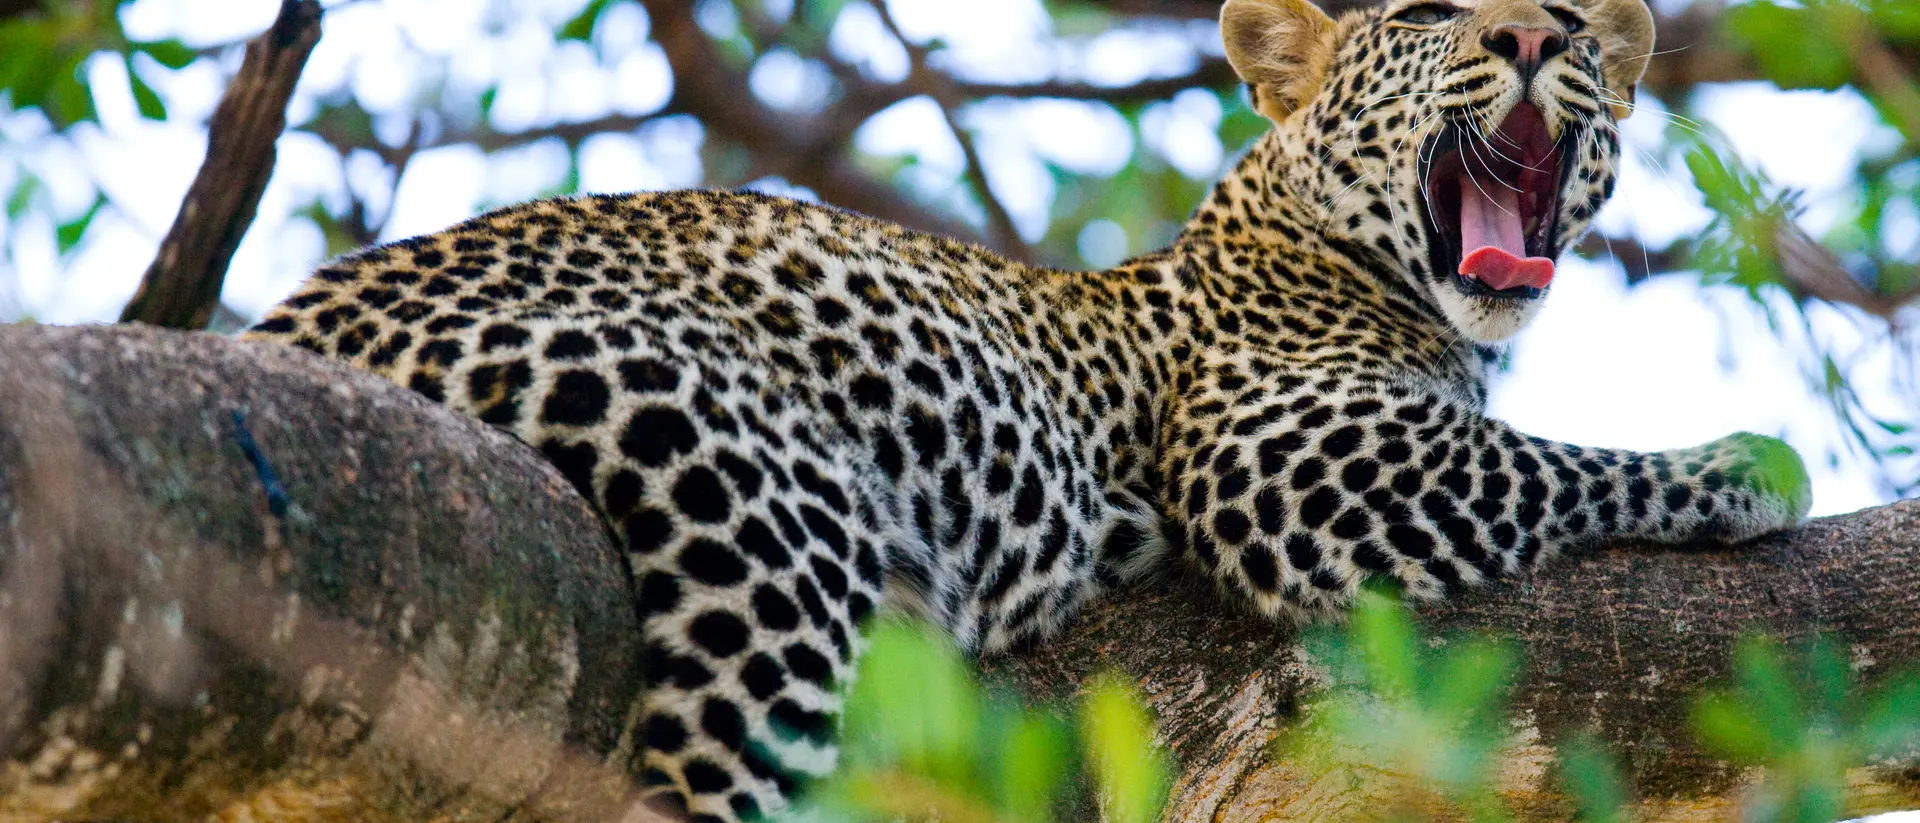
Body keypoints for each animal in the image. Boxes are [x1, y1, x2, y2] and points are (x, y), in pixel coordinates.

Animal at [243, 0, 1813, 818]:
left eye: (1570, 15)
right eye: (1428, 16)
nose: (1538, 36)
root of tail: (293, 321)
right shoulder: (1275, 452)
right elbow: (1555, 458)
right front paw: (1748, 462)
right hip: (750, 505)